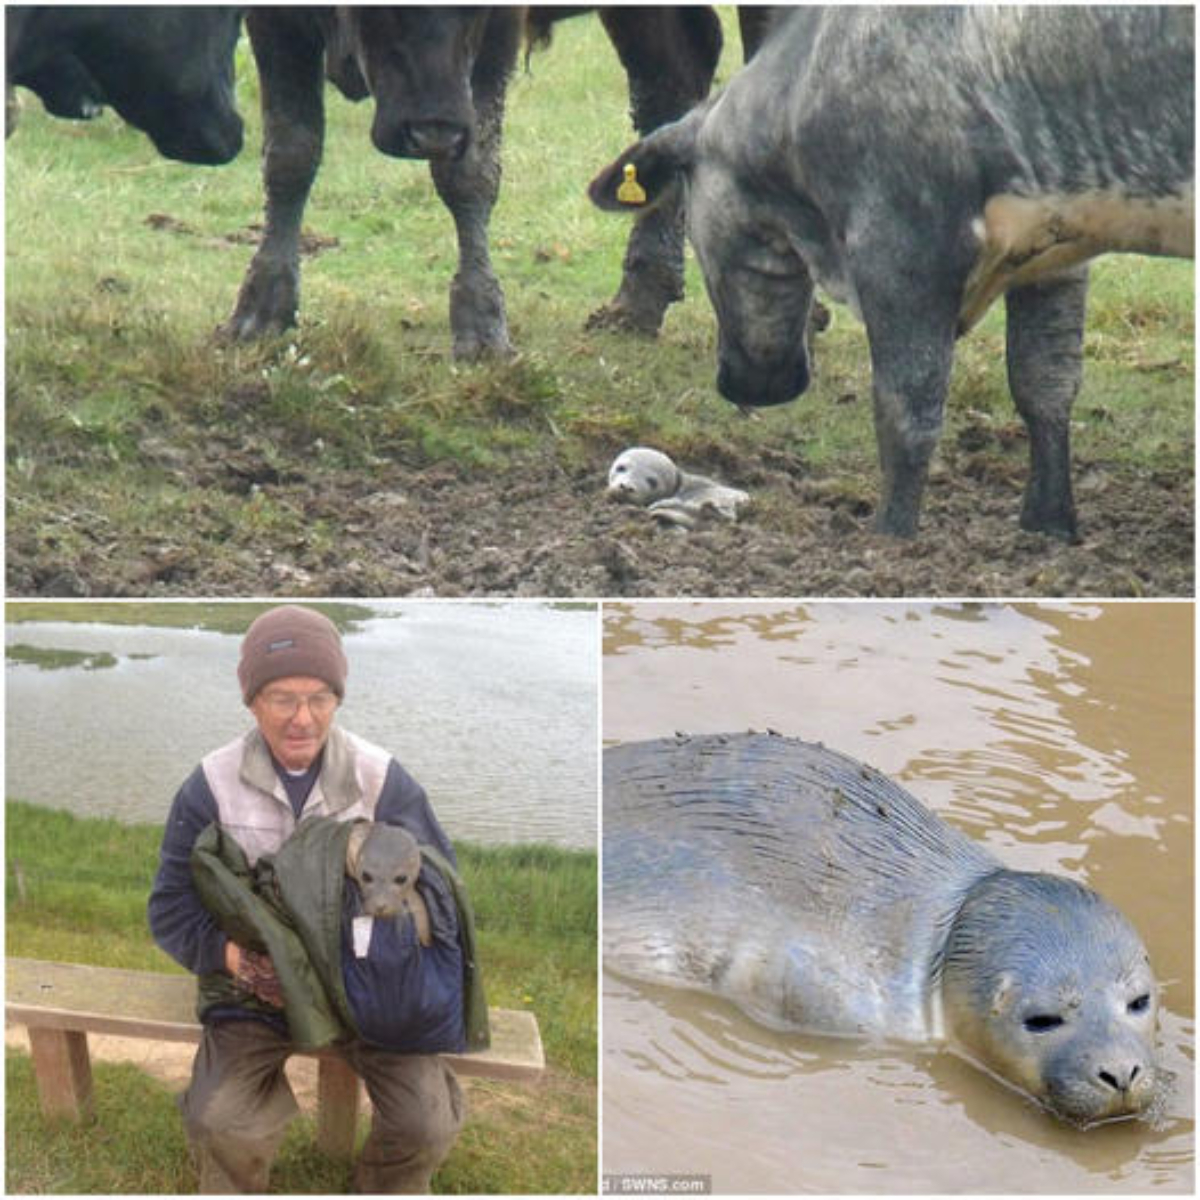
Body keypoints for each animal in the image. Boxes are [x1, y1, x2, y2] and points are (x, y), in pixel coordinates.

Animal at [590, 4, 1190, 540]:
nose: (749, 384)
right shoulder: (1053, 239)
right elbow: (1044, 383)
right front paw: (1048, 527)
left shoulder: (900, 245)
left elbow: (907, 408)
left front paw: (890, 538)